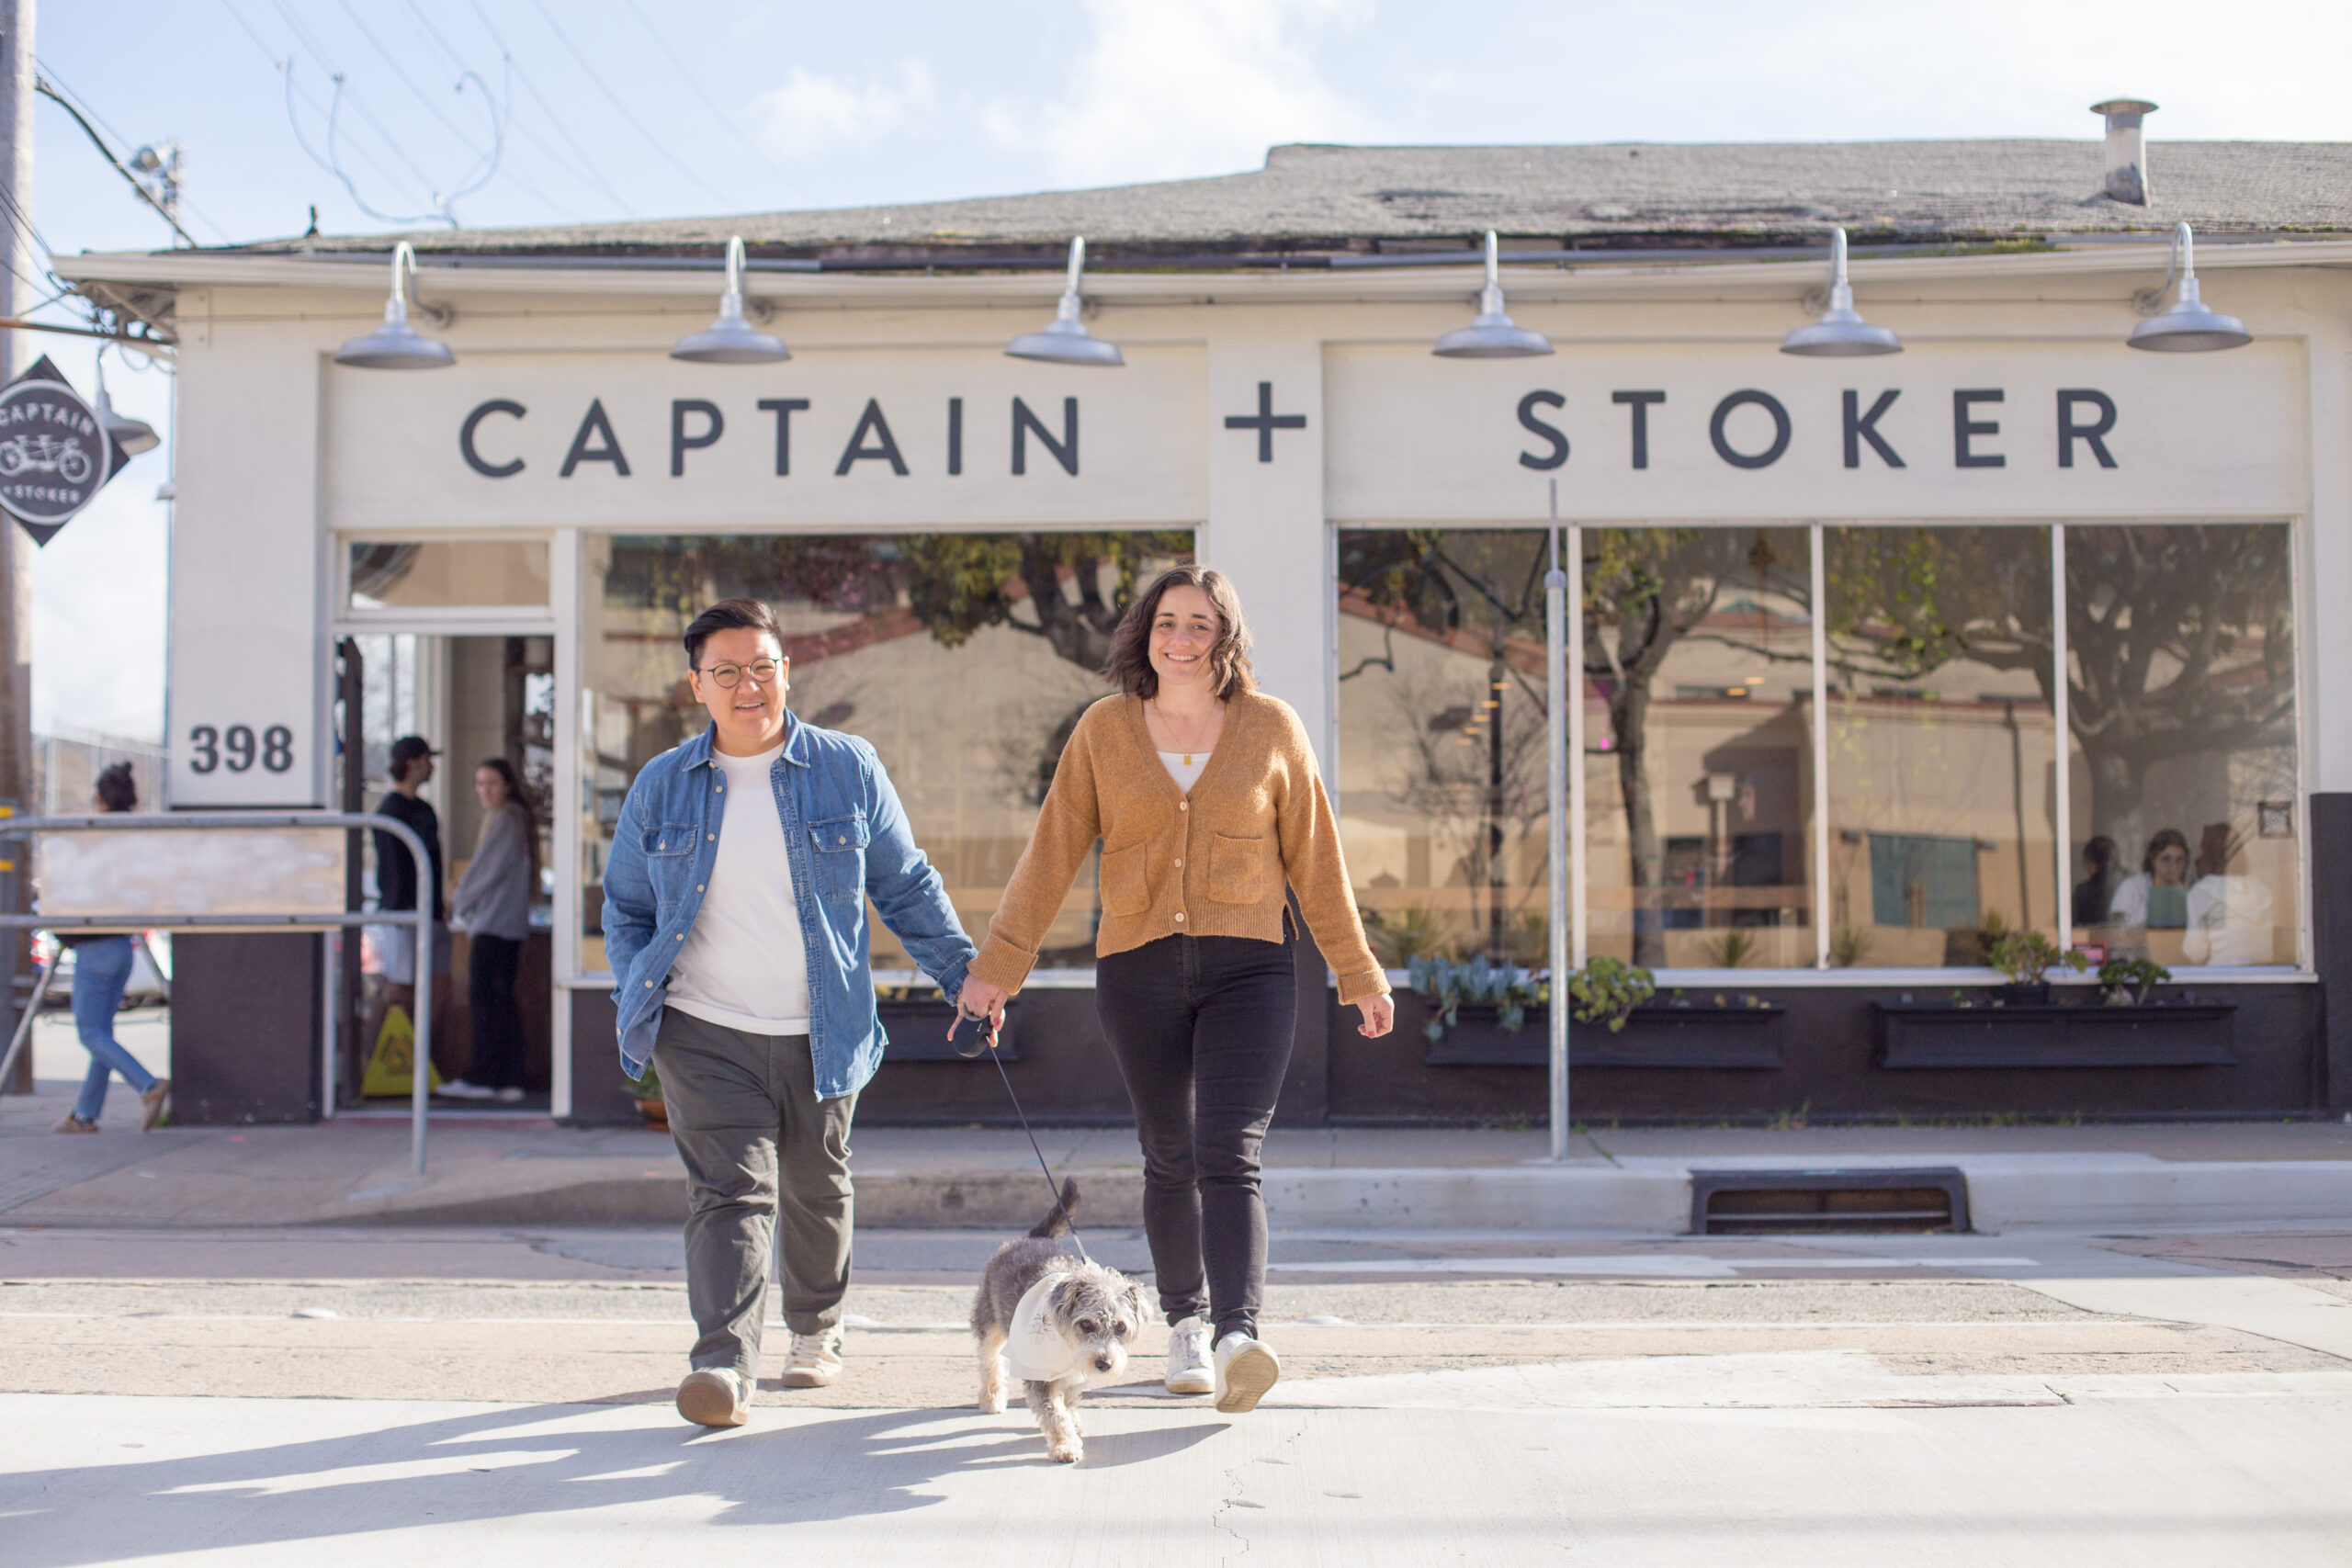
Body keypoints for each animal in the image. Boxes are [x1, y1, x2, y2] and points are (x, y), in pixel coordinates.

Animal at [968, 1184, 1143, 1466]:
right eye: (1085, 1324)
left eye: (1120, 1327)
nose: (1104, 1363)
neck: (1068, 1345)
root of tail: (1034, 1237)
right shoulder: (1039, 1377)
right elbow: (1054, 1414)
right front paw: (1065, 1446)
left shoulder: (1074, 1376)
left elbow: (1068, 1404)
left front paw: (1073, 1425)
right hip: (990, 1321)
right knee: (990, 1361)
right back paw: (991, 1399)